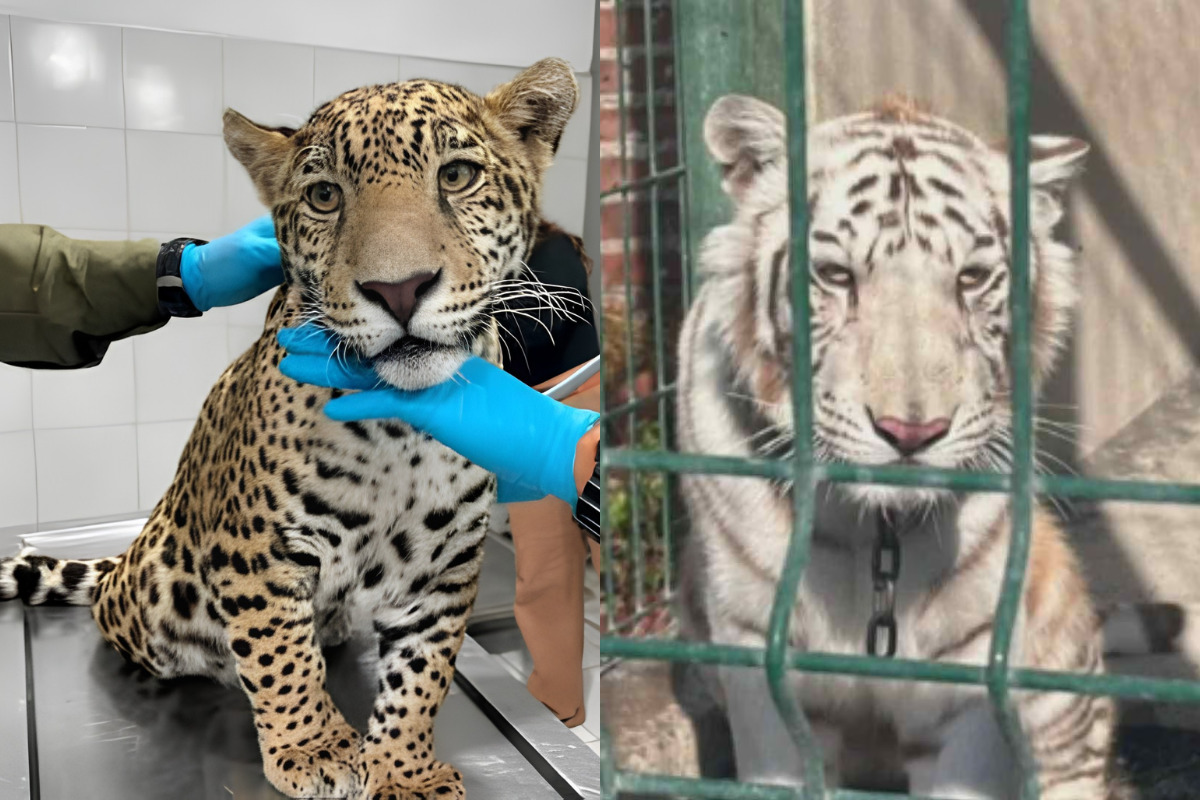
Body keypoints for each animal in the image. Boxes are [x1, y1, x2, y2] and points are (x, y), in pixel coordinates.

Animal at [0, 57, 579, 800]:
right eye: (325, 196)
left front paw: (404, 769)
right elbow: (280, 653)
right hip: (156, 596)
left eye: (456, 176)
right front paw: (315, 749)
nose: (398, 290)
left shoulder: (446, 567)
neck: (403, 431)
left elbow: (424, 673)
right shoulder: (257, 550)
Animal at [671, 93, 1129, 798]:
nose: (911, 432)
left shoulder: (968, 663)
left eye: (972, 279)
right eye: (835, 275)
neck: (873, 537)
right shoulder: (754, 649)